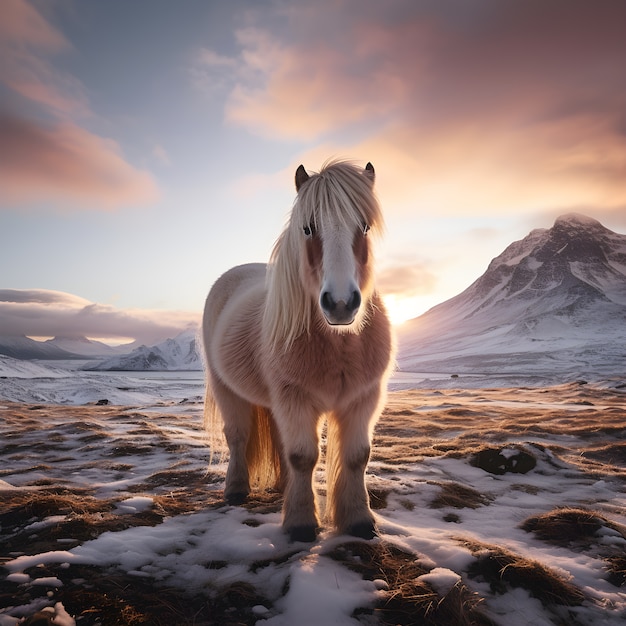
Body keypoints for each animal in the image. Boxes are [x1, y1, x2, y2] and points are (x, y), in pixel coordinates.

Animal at [202, 157, 392, 540]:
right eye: (308, 228)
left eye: (364, 226)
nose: (340, 304)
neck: (338, 345)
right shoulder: (296, 399)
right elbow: (303, 456)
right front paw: (302, 524)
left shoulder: (363, 399)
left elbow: (357, 457)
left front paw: (360, 520)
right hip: (228, 389)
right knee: (237, 436)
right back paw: (236, 490)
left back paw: (280, 488)